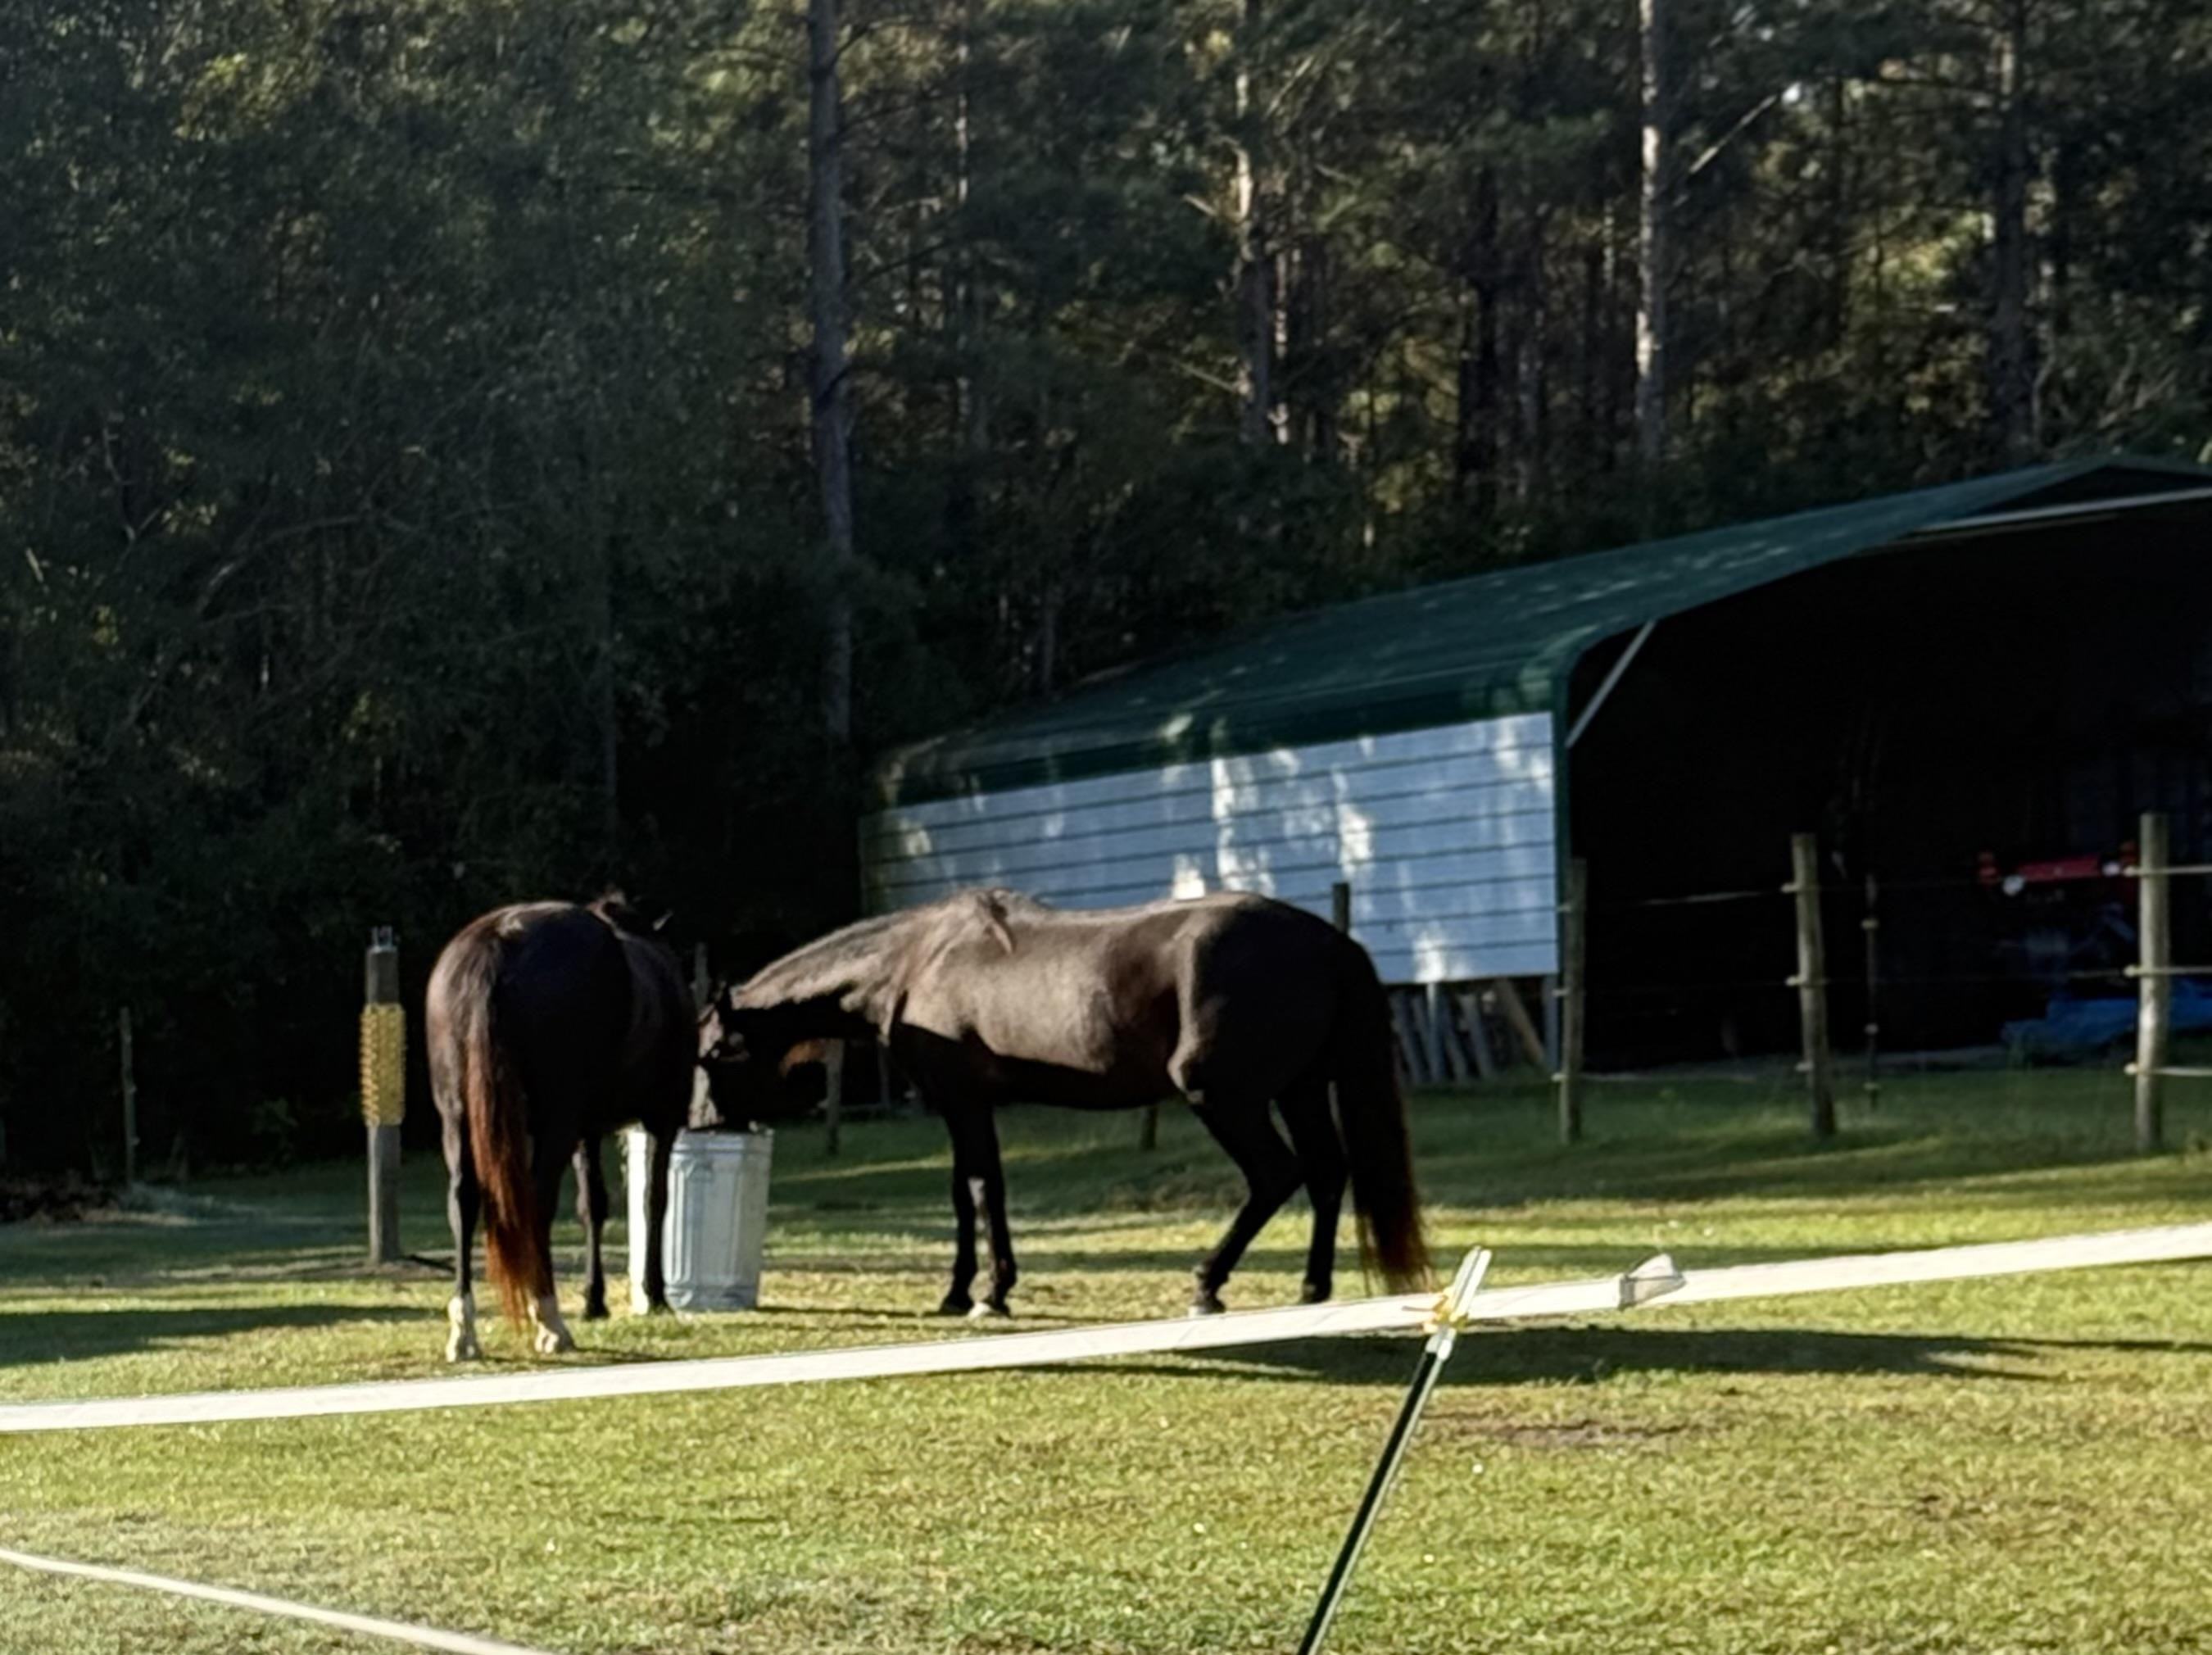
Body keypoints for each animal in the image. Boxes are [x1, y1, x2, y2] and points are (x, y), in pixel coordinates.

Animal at [426, 894, 695, 1361]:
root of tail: (500, 939)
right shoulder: (662, 1118)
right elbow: (654, 1200)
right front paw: (655, 1295)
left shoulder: (587, 1131)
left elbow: (594, 1205)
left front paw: (595, 1300)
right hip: (556, 1120)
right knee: (536, 1201)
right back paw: (550, 1320)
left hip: (458, 1118)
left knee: (463, 1198)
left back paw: (464, 1332)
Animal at [699, 888, 1430, 1318]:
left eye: (709, 1055)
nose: (702, 1128)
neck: (916, 963)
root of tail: (1330, 943)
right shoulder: (969, 1106)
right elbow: (972, 1191)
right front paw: (971, 1289)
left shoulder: (963, 1102)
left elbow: (977, 1189)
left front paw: (983, 1292)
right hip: (1297, 1089)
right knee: (1328, 1173)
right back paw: (1312, 1288)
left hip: (1225, 1096)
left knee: (1278, 1175)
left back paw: (1207, 1284)